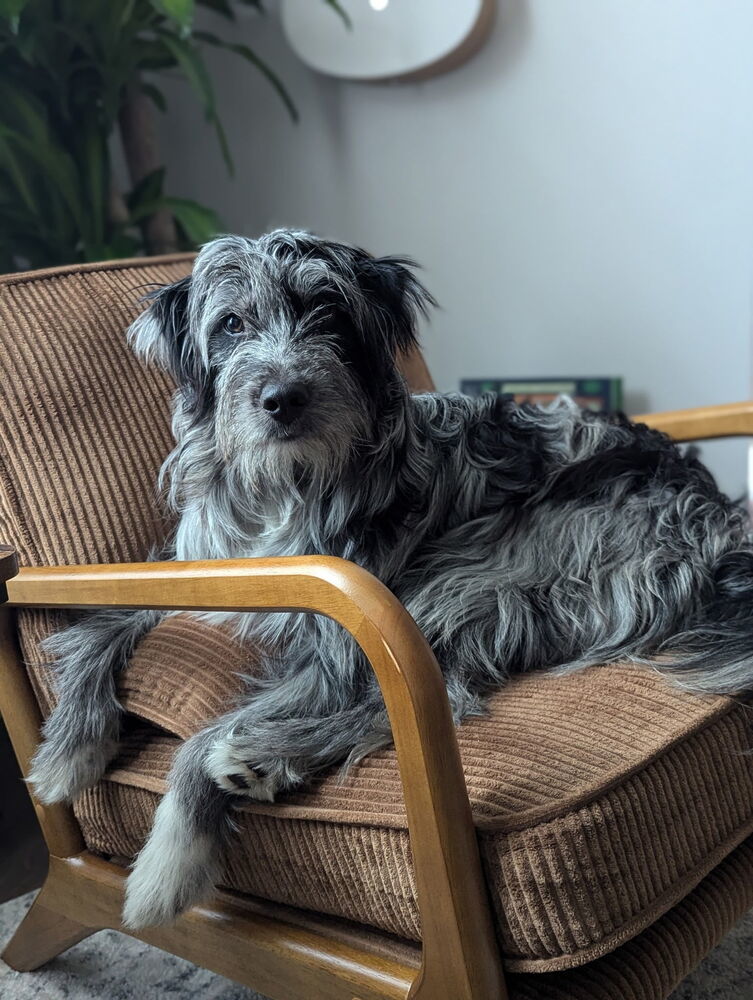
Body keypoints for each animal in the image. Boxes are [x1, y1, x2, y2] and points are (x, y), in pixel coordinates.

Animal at [26, 229, 752, 928]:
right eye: (231, 323)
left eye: (328, 313)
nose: (283, 399)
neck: (285, 488)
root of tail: (718, 515)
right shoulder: (200, 571)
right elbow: (99, 626)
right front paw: (68, 749)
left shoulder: (339, 641)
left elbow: (199, 740)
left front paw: (169, 862)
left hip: (463, 572)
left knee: (429, 699)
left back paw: (259, 757)